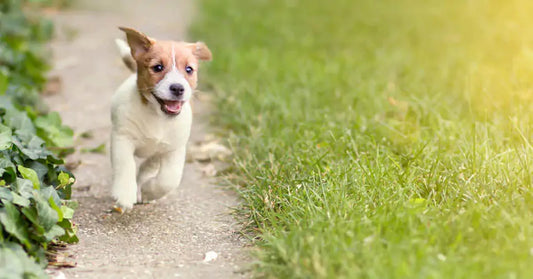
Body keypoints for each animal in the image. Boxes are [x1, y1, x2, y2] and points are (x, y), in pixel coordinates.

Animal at [111, 27, 211, 210]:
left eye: (189, 69)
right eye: (157, 67)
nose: (177, 88)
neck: (157, 116)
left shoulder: (174, 150)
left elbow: (168, 180)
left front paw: (149, 191)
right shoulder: (122, 138)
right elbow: (125, 165)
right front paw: (125, 194)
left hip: (158, 154)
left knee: (148, 167)